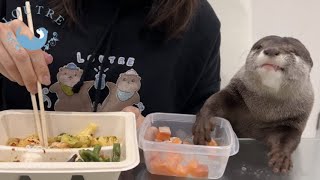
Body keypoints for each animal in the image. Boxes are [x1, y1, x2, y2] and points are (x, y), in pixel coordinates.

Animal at [194, 35, 314, 173]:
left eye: (292, 51)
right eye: (260, 46)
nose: (271, 50)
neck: (263, 112)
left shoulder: (293, 121)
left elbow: (288, 138)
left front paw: (281, 156)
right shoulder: (235, 93)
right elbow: (216, 100)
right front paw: (203, 123)